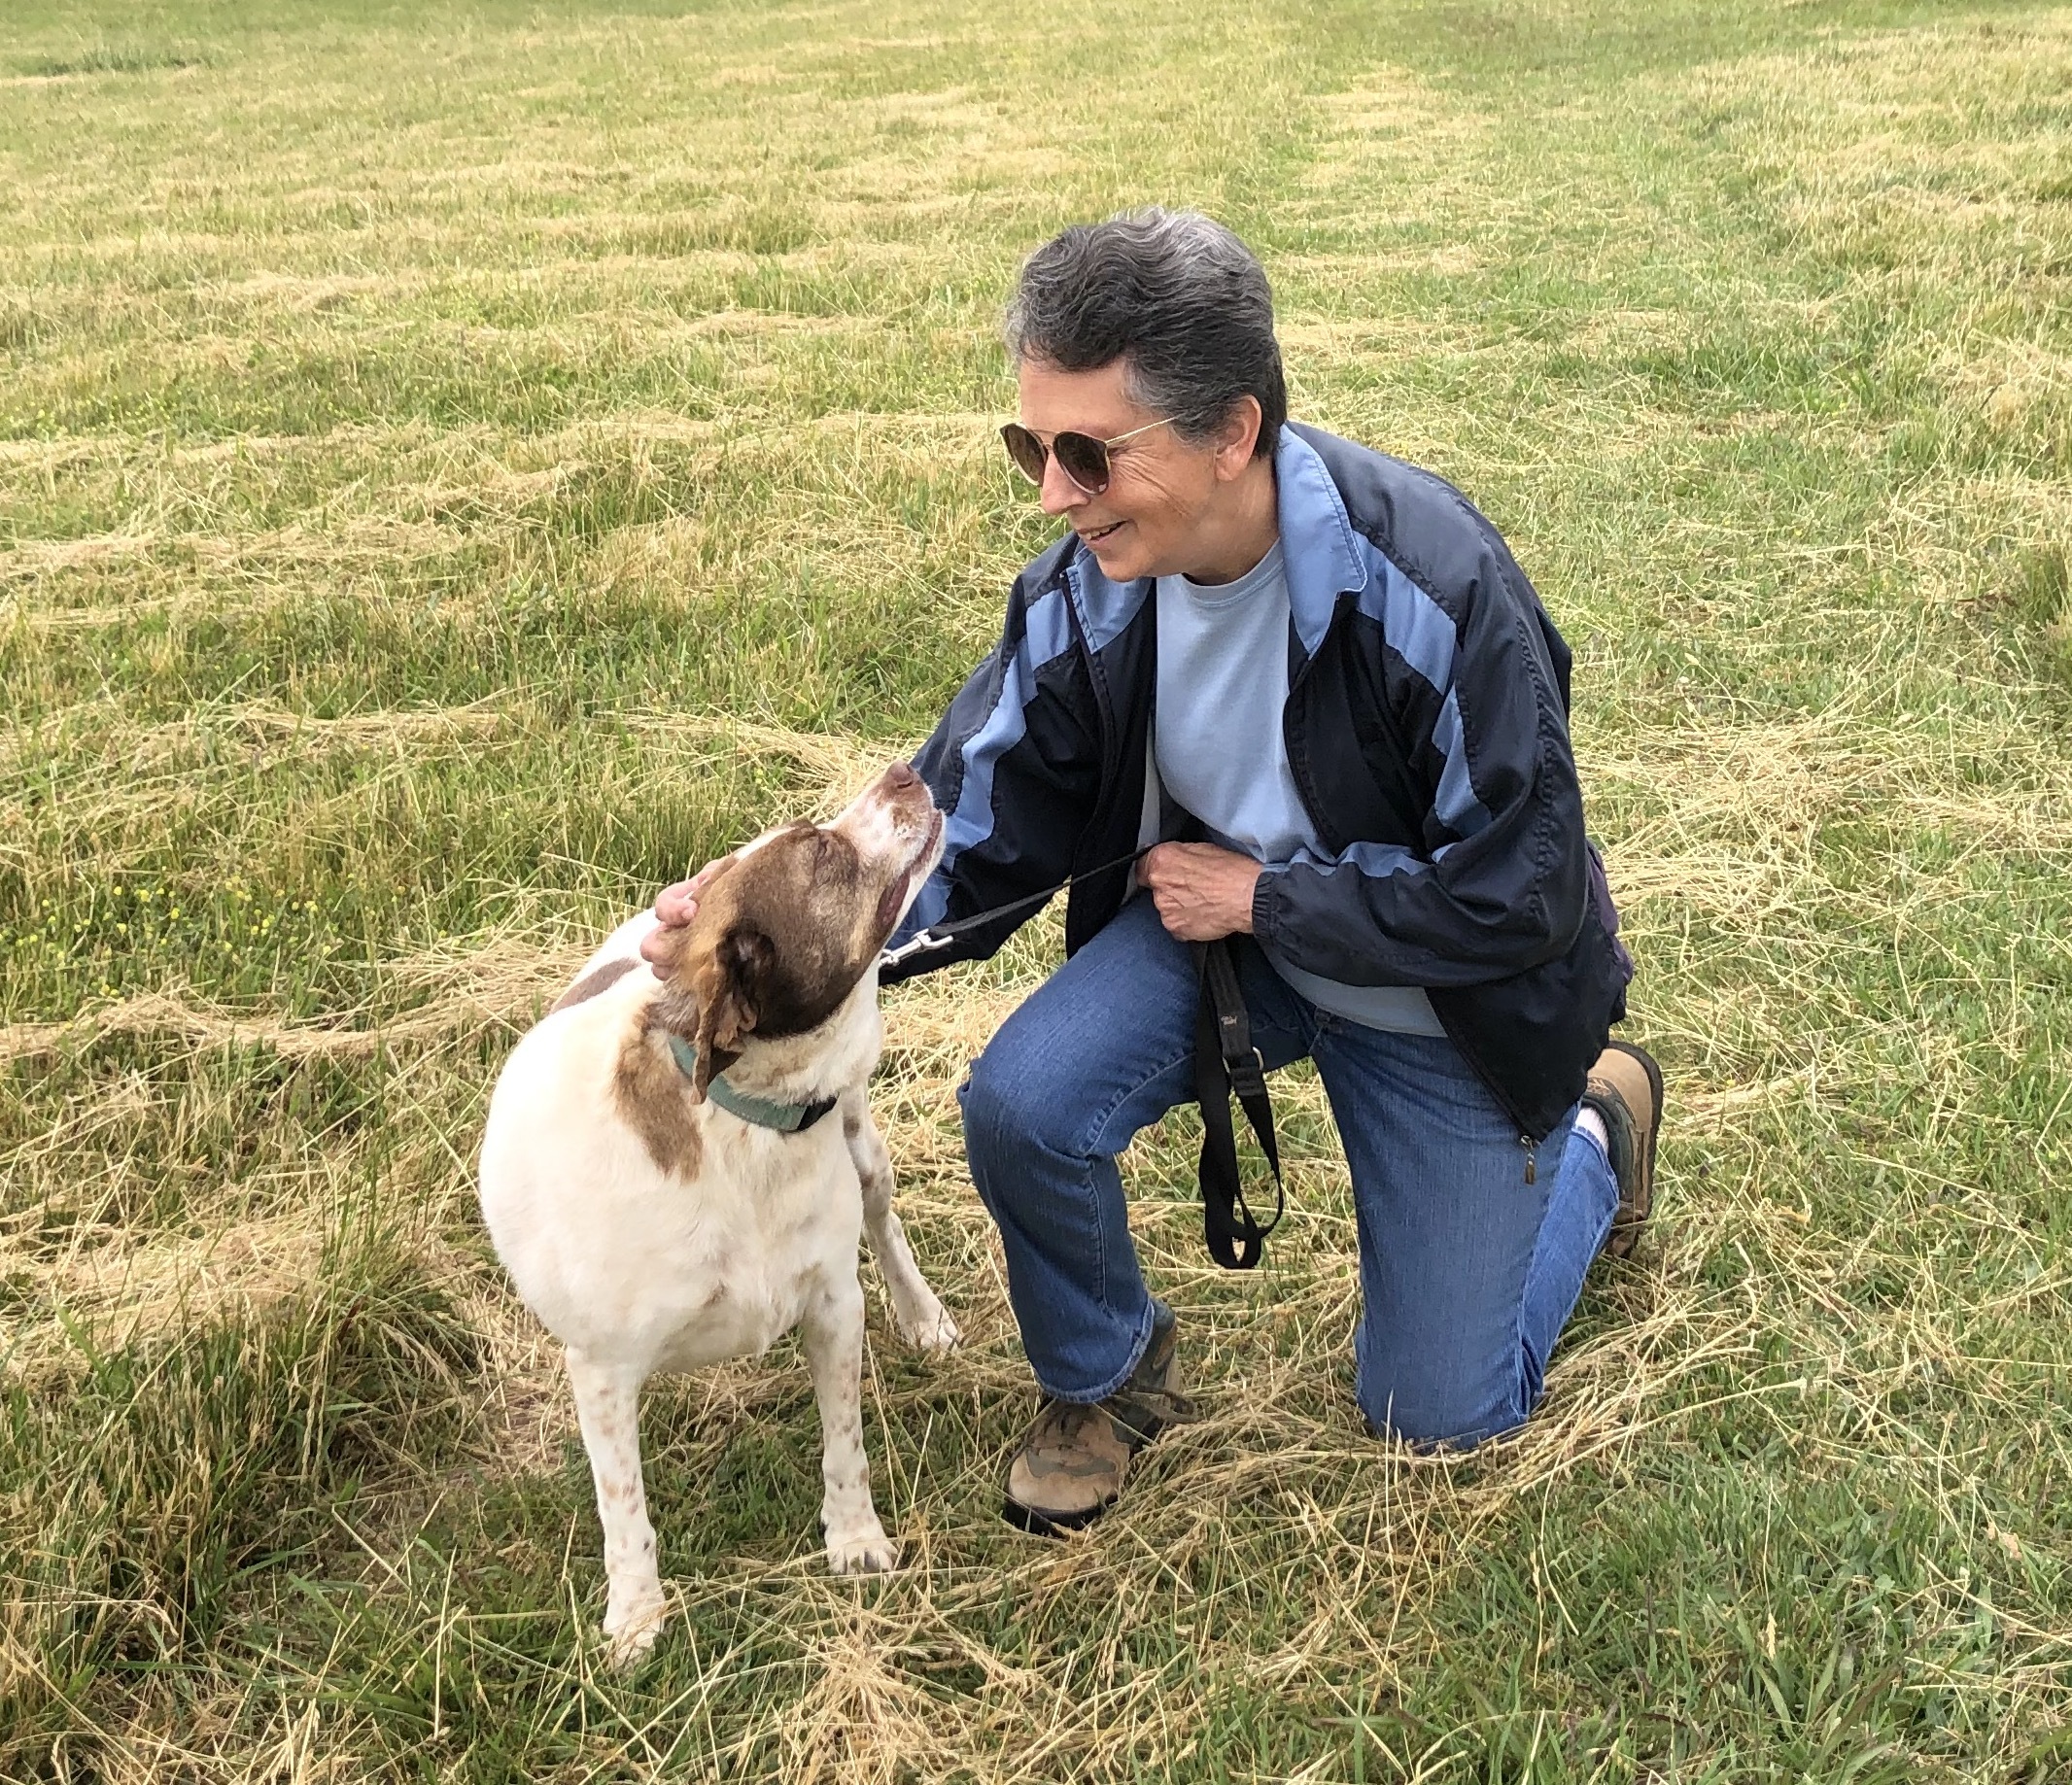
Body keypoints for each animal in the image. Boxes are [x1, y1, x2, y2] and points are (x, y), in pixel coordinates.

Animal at [482, 762, 961, 1672]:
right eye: (819, 851)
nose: (905, 770)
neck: (746, 1124)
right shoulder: (600, 1371)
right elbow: (622, 1510)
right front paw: (637, 1615)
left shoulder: (833, 1302)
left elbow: (845, 1444)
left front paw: (855, 1540)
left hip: (866, 1155)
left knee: (885, 1224)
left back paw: (923, 1315)